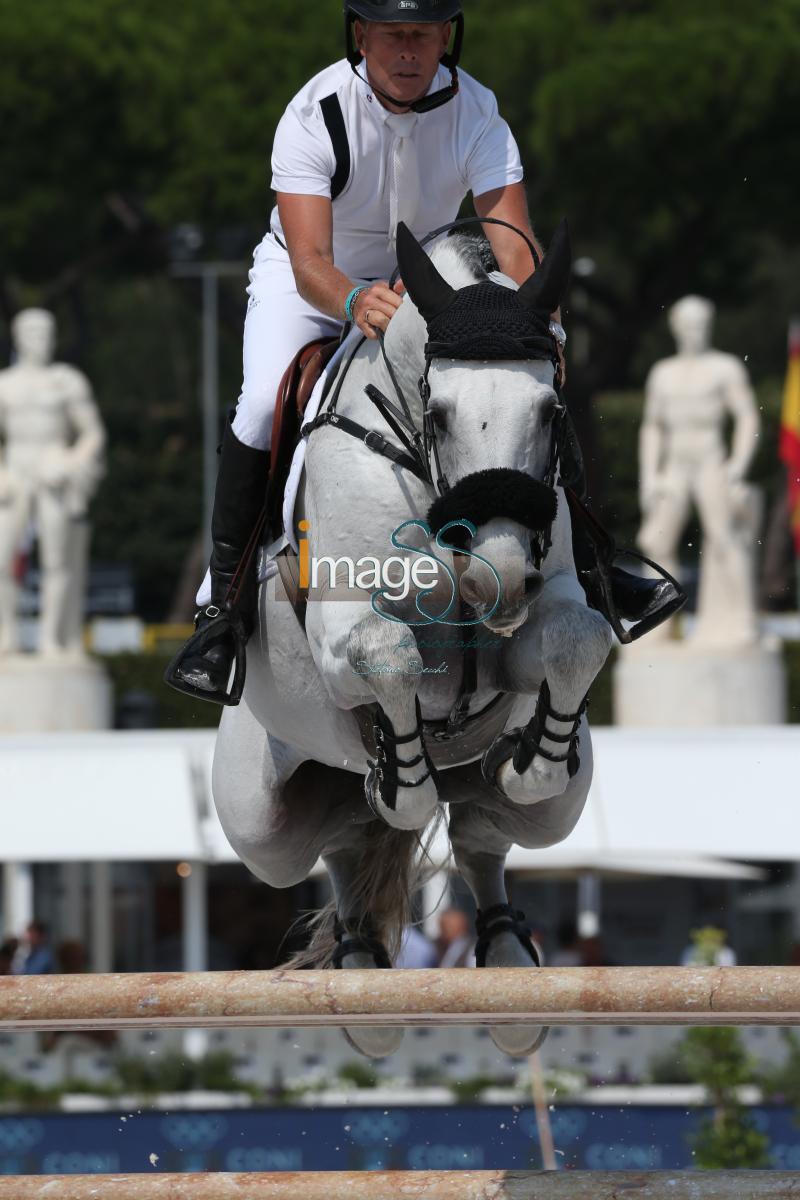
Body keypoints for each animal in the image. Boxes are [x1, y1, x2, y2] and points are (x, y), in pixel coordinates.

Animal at [212, 220, 614, 1056]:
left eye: (550, 409)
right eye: (441, 412)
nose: (499, 575)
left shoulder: (532, 622)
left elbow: (575, 639)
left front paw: (531, 758)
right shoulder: (340, 638)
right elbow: (388, 655)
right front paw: (401, 781)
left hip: (553, 811)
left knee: (481, 835)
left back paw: (503, 952)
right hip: (261, 826)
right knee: (338, 838)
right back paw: (363, 956)